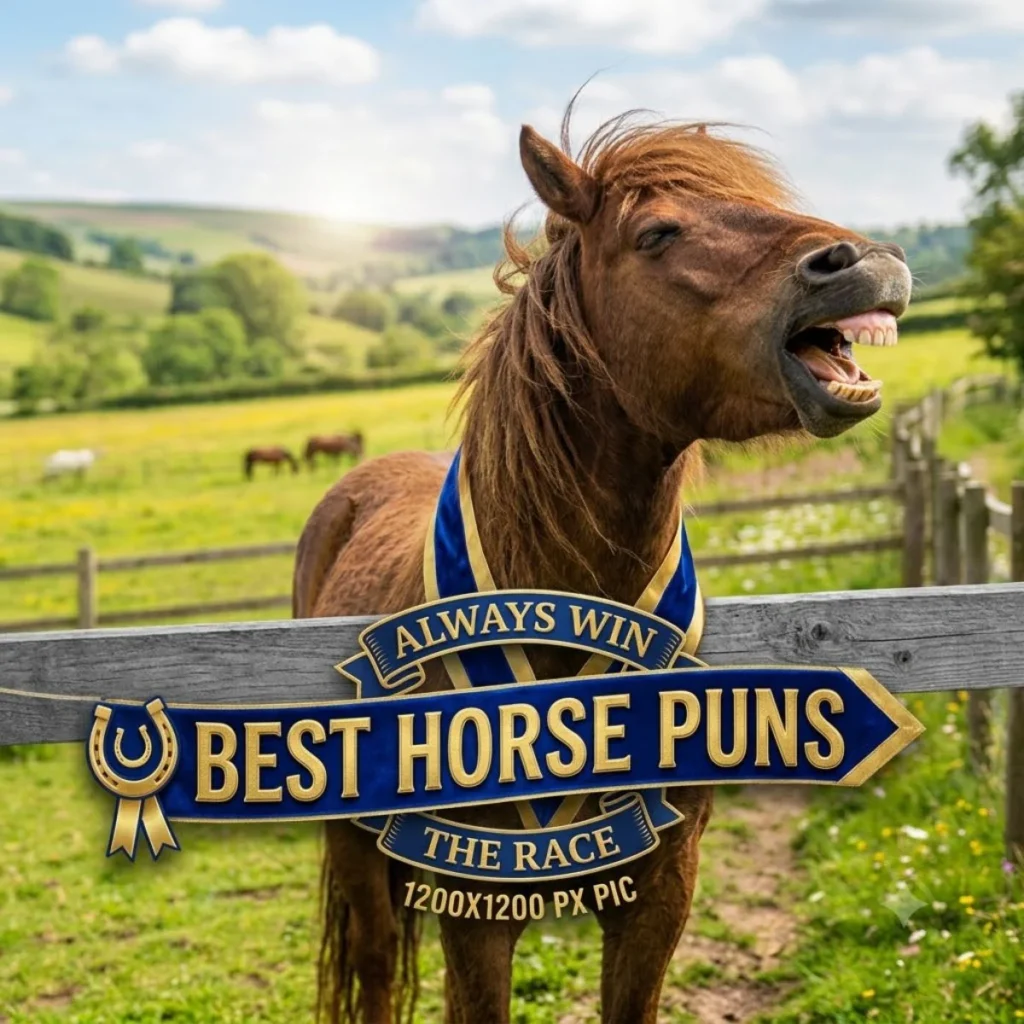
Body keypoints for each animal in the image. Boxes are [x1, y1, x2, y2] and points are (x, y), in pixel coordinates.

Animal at [293, 110, 911, 1024]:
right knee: (373, 966)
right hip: (355, 853)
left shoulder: (660, 898)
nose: (865, 260)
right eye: (656, 233)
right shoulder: (476, 912)